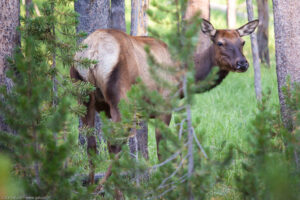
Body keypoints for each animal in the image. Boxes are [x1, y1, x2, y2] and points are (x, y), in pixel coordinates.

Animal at [69, 19, 258, 184]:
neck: (183, 77)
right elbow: (162, 151)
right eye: (220, 42)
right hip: (121, 100)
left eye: (242, 42)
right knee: (113, 145)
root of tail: (92, 51)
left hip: (84, 97)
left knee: (91, 146)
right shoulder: (164, 105)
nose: (242, 63)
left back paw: (92, 186)